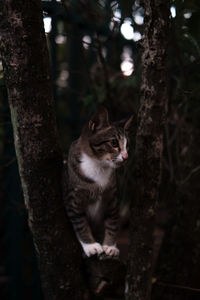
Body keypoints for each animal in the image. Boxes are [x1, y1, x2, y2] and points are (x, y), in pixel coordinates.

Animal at [64, 106, 133, 256]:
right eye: (114, 143)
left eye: (127, 145)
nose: (126, 157)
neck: (98, 165)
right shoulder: (73, 199)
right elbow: (81, 224)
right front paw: (90, 245)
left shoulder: (112, 196)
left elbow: (112, 222)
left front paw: (110, 246)